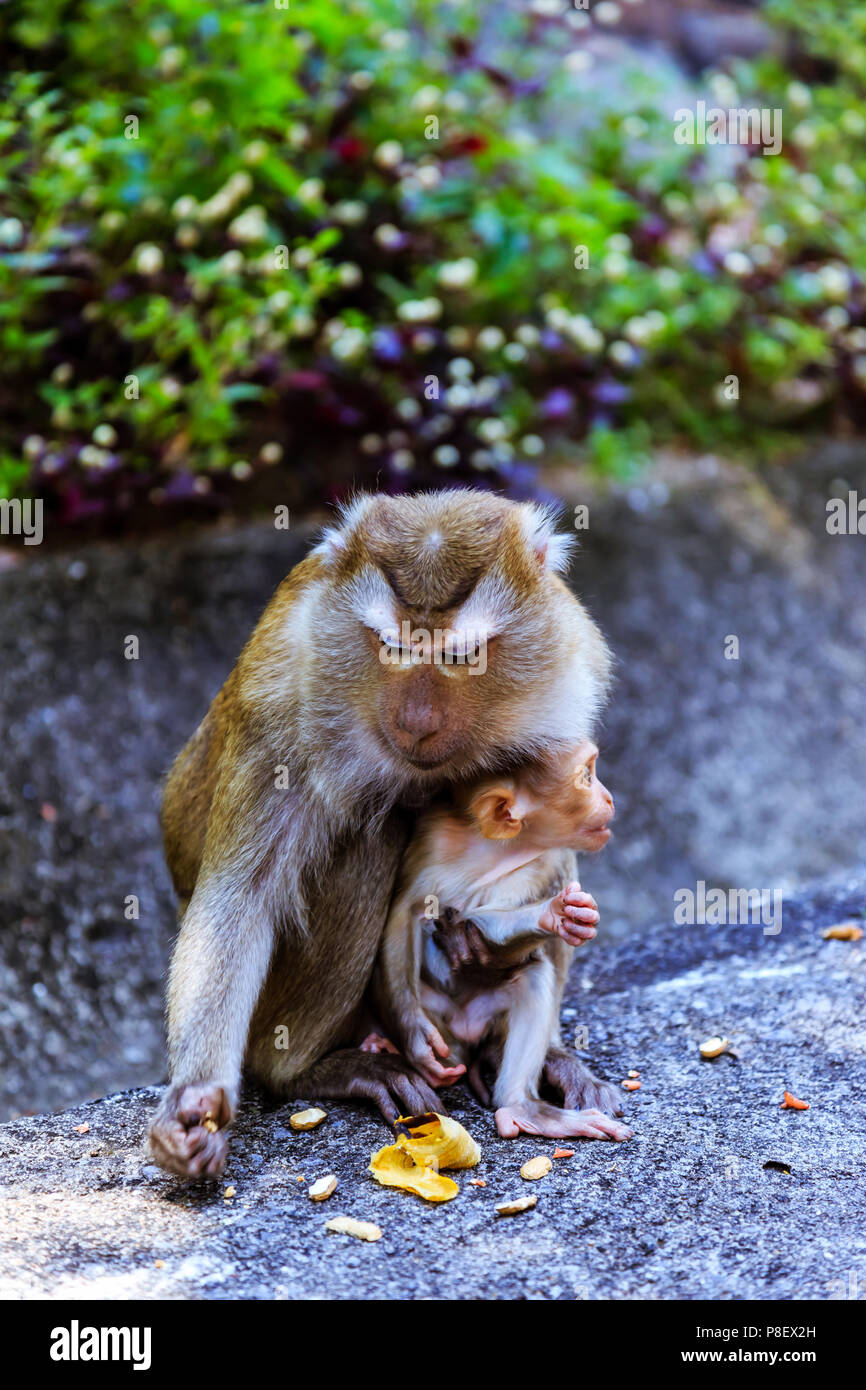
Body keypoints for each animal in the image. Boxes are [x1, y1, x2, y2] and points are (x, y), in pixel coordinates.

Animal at [366, 740, 630, 1140]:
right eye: (587, 776)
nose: (610, 798)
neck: (492, 847)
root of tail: (466, 1034)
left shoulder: (544, 862)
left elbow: (487, 920)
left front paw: (554, 915)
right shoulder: (434, 835)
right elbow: (403, 914)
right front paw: (415, 1039)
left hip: (486, 1016)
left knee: (532, 978)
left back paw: (523, 1108)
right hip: (444, 1028)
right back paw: (384, 1042)